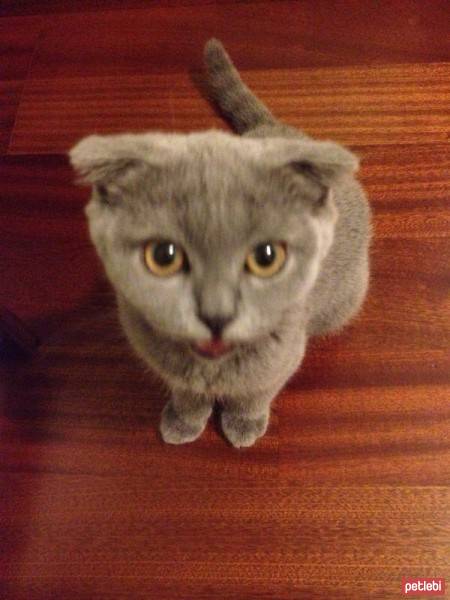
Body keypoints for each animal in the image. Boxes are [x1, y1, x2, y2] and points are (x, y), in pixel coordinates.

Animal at [68, 39, 370, 448]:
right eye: (163, 256)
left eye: (266, 257)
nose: (216, 313)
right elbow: (187, 392)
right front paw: (184, 421)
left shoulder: (283, 357)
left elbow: (255, 393)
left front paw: (243, 424)